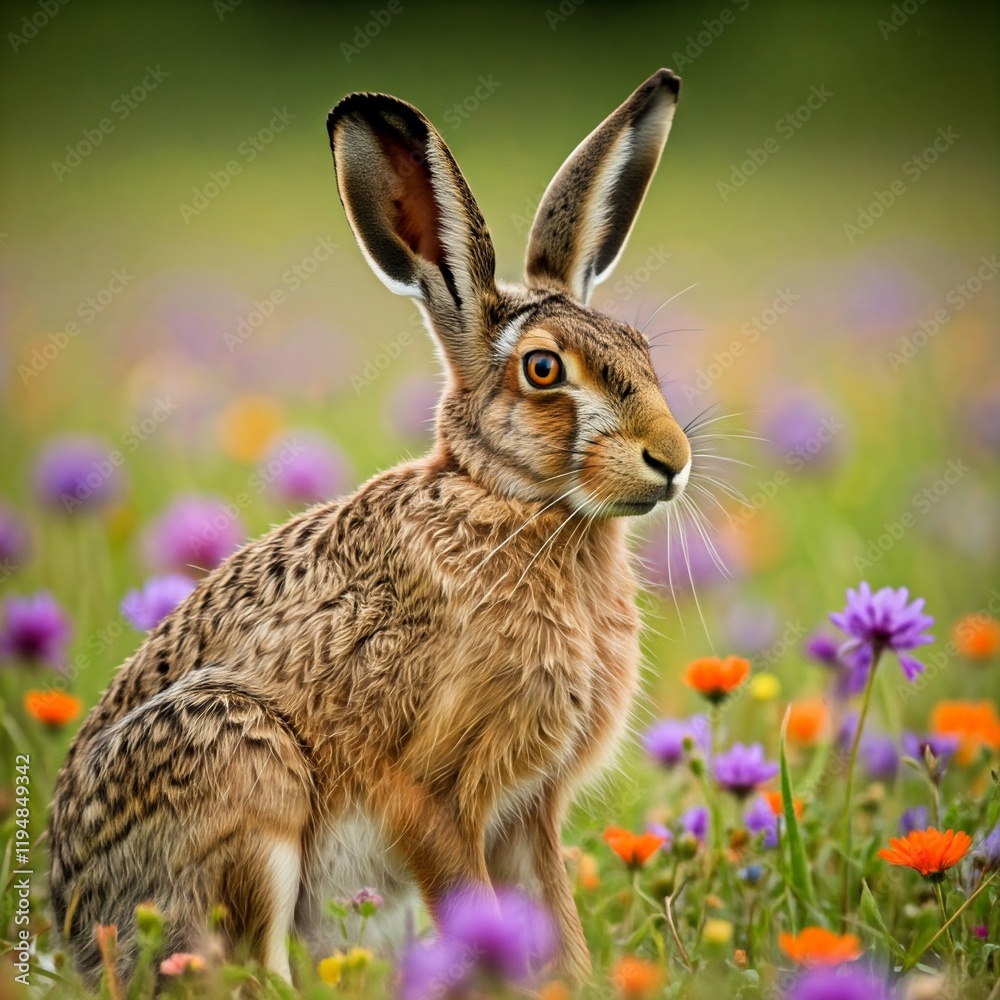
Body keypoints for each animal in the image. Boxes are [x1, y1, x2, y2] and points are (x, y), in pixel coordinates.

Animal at [48, 67, 690, 987]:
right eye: (543, 369)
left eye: (640, 347)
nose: (671, 460)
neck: (510, 504)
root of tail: (71, 921)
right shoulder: (429, 789)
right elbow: (474, 912)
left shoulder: (528, 811)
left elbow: (550, 923)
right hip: (245, 771)